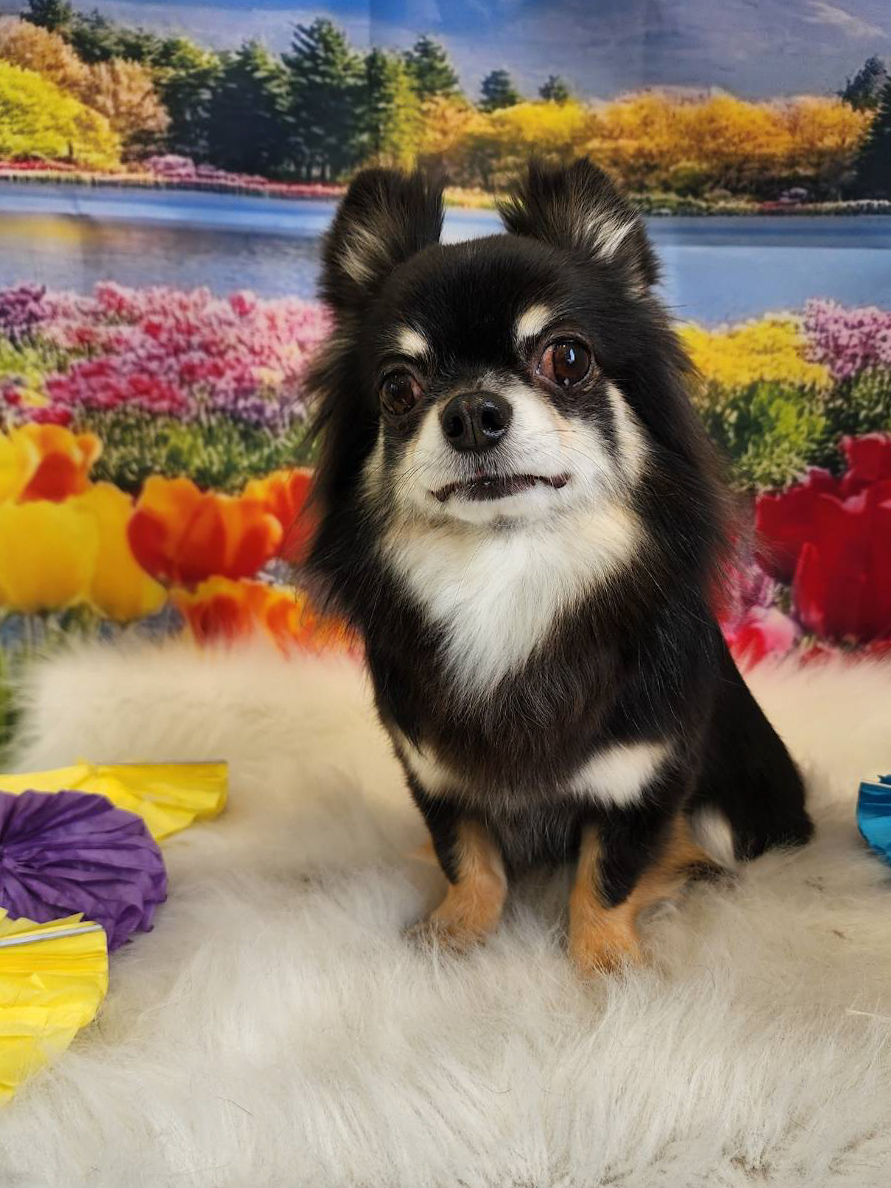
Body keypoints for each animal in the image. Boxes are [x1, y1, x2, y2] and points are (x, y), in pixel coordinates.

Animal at [305, 160, 813, 974]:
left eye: (567, 357)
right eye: (397, 388)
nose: (471, 411)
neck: (509, 578)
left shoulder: (643, 777)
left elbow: (606, 875)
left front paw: (607, 968)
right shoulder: (434, 771)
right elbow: (468, 856)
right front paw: (454, 934)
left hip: (741, 809)